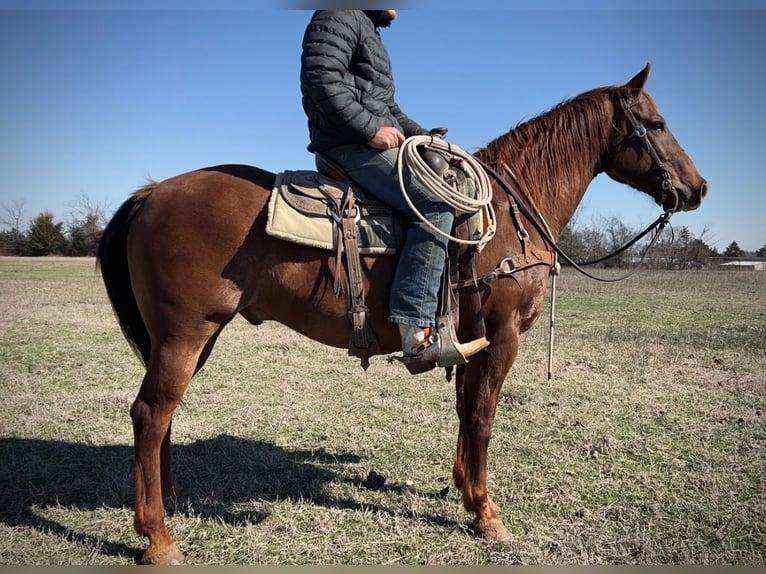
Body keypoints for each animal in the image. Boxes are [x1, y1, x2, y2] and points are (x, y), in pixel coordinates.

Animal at [99, 64, 712, 568]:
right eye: (656, 124)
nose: (698, 187)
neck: (507, 214)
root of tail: (152, 193)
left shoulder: (470, 340)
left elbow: (465, 412)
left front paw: (463, 491)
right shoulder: (503, 336)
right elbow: (483, 417)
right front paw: (487, 514)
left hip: (189, 338)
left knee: (161, 415)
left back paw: (170, 502)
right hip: (185, 333)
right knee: (150, 414)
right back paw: (157, 539)